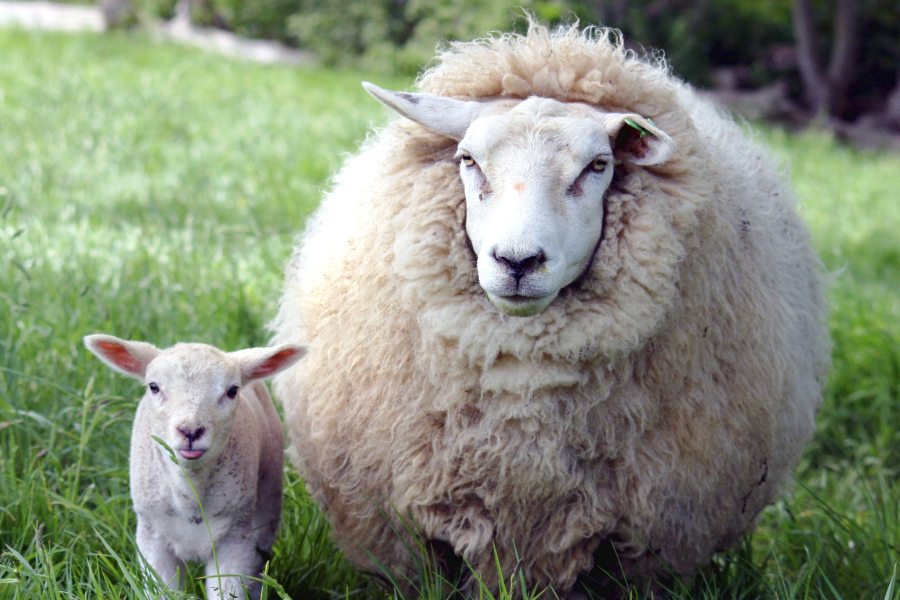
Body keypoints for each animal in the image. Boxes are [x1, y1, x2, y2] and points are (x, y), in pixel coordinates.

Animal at [83, 338, 306, 600]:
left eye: (232, 390)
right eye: (154, 387)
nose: (190, 431)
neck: (190, 492)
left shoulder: (235, 538)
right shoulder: (152, 537)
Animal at [268, 21, 828, 596]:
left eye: (598, 165)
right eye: (467, 160)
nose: (518, 261)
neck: (525, 392)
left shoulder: (649, 540)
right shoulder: (409, 535)